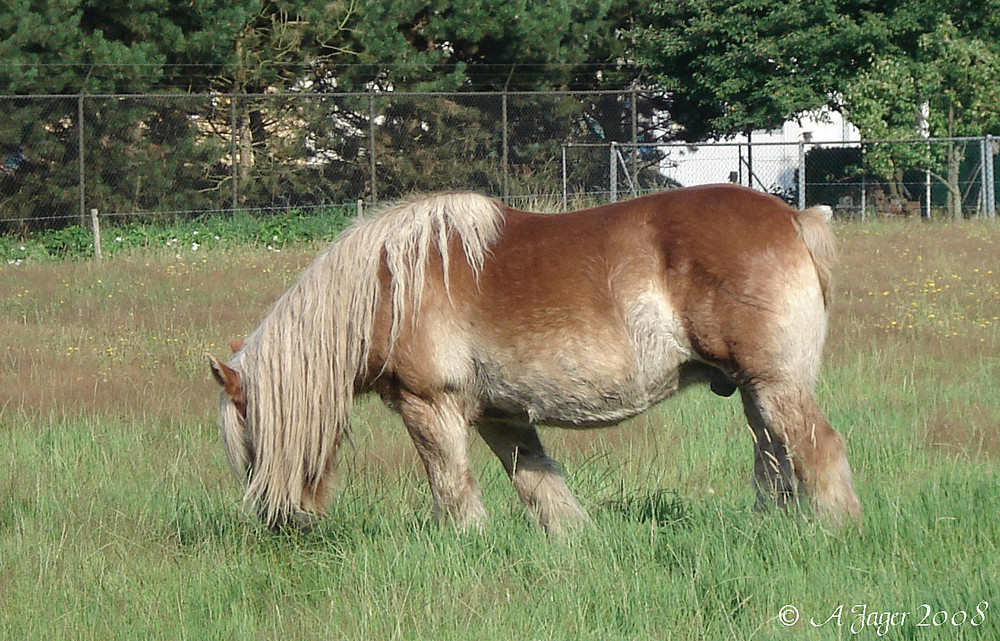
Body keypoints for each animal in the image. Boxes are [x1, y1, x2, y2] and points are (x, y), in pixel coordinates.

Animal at [209, 186, 860, 536]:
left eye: (251, 446)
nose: (281, 521)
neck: (386, 288)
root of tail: (794, 218)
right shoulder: (502, 417)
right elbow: (540, 486)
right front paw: (574, 544)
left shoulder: (430, 408)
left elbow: (452, 487)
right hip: (755, 393)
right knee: (775, 461)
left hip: (773, 385)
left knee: (817, 449)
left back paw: (836, 531)